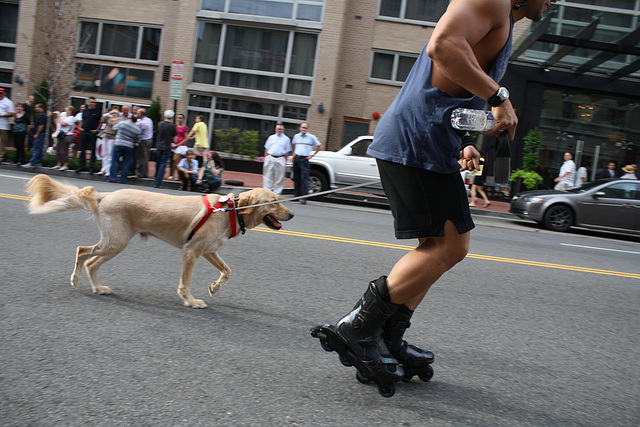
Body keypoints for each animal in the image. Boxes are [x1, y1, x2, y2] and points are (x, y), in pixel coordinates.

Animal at [25, 176, 296, 310]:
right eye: (274, 201)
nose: (292, 214)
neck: (232, 209)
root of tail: (104, 195)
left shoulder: (208, 251)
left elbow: (228, 271)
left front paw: (214, 287)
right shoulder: (191, 252)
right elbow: (185, 283)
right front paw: (190, 301)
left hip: (115, 243)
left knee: (91, 262)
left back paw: (98, 288)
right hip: (115, 242)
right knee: (82, 251)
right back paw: (76, 279)